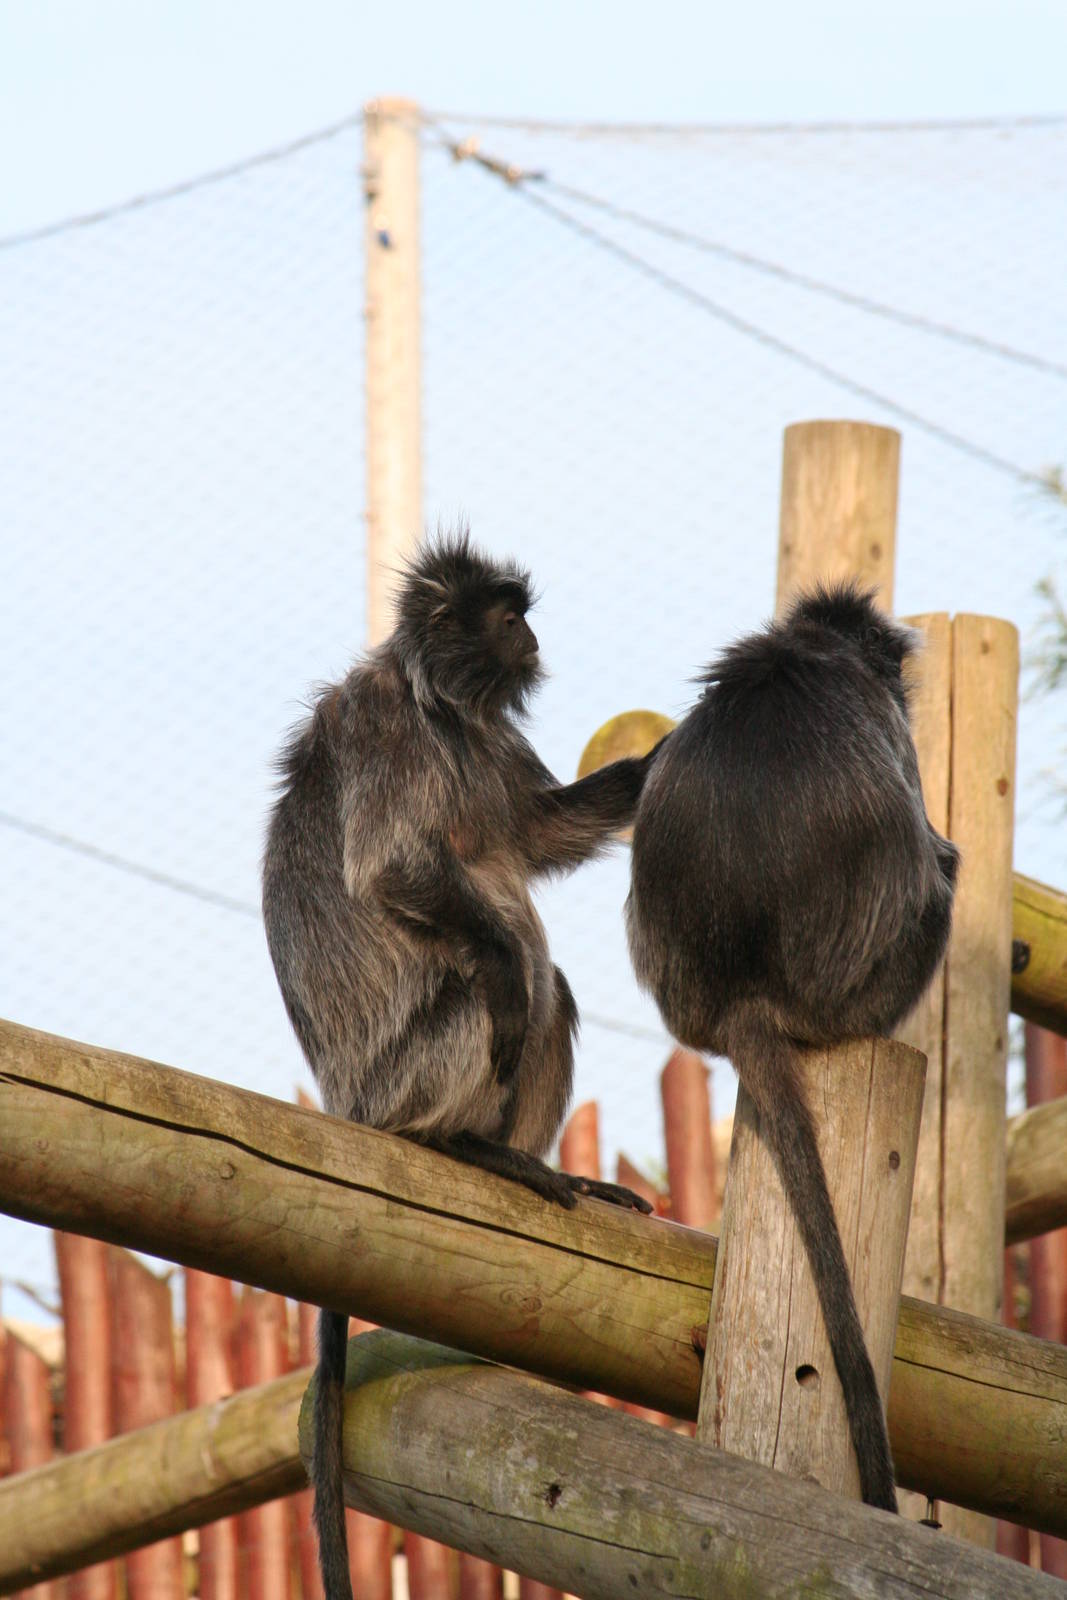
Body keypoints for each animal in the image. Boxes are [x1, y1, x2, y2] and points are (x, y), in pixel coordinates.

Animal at [262, 532, 654, 1600]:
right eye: (505, 615)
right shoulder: (387, 728)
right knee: (506, 985)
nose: (533, 637)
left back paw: (535, 1163)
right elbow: (396, 869)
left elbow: (539, 834)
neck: (442, 713)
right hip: (404, 1071)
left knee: (549, 992)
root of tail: (350, 1107)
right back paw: (463, 1143)